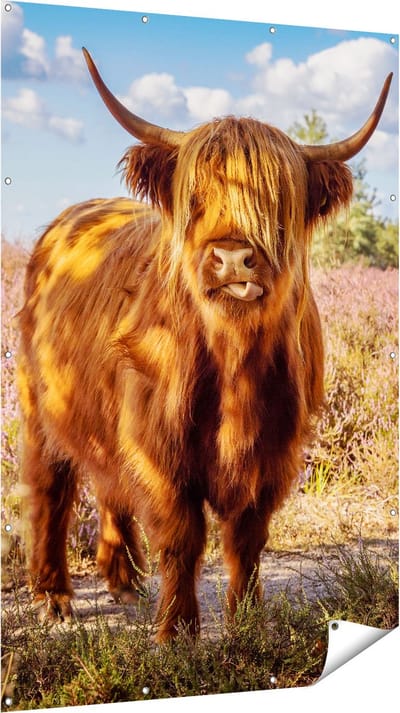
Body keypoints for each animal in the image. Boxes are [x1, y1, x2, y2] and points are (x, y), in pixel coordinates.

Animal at [18, 48, 392, 641]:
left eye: (277, 200)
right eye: (195, 196)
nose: (233, 257)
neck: (234, 364)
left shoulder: (275, 451)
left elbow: (246, 539)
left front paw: (247, 621)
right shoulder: (159, 449)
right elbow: (182, 537)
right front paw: (177, 631)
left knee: (108, 484)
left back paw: (124, 579)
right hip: (40, 405)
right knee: (50, 488)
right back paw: (53, 597)